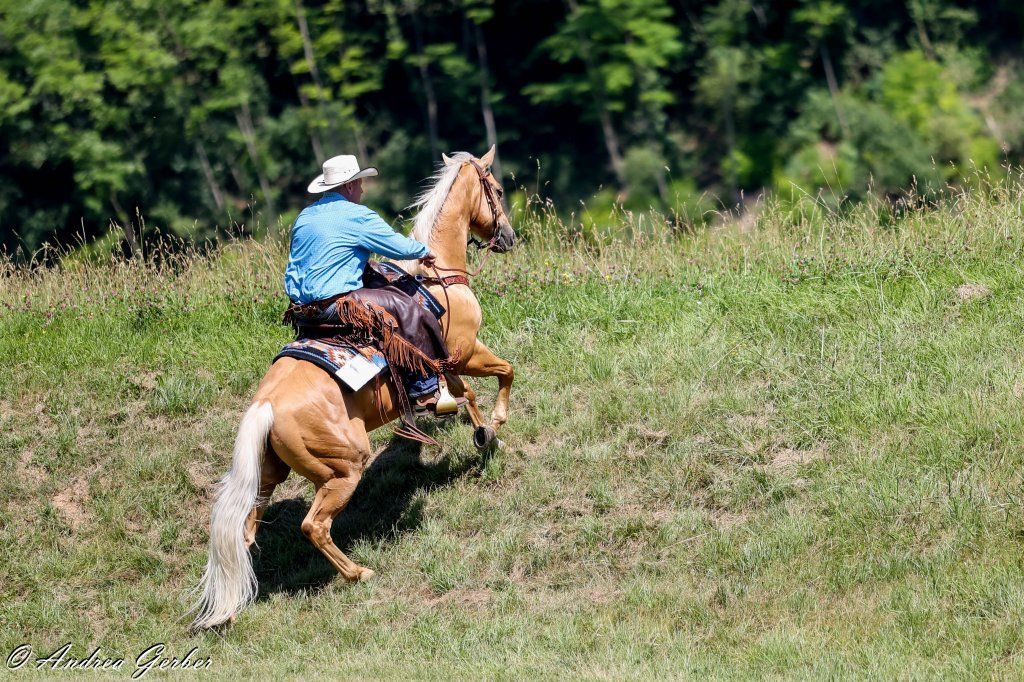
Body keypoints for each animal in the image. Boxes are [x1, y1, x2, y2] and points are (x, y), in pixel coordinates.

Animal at [190, 147, 516, 630]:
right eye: (496, 188)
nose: (508, 237)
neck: (437, 277)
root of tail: (263, 406)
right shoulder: (466, 350)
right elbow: (504, 373)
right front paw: (494, 423)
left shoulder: (448, 361)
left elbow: (467, 394)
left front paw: (480, 432)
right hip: (344, 468)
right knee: (313, 526)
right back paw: (358, 573)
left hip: (269, 472)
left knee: (246, 529)